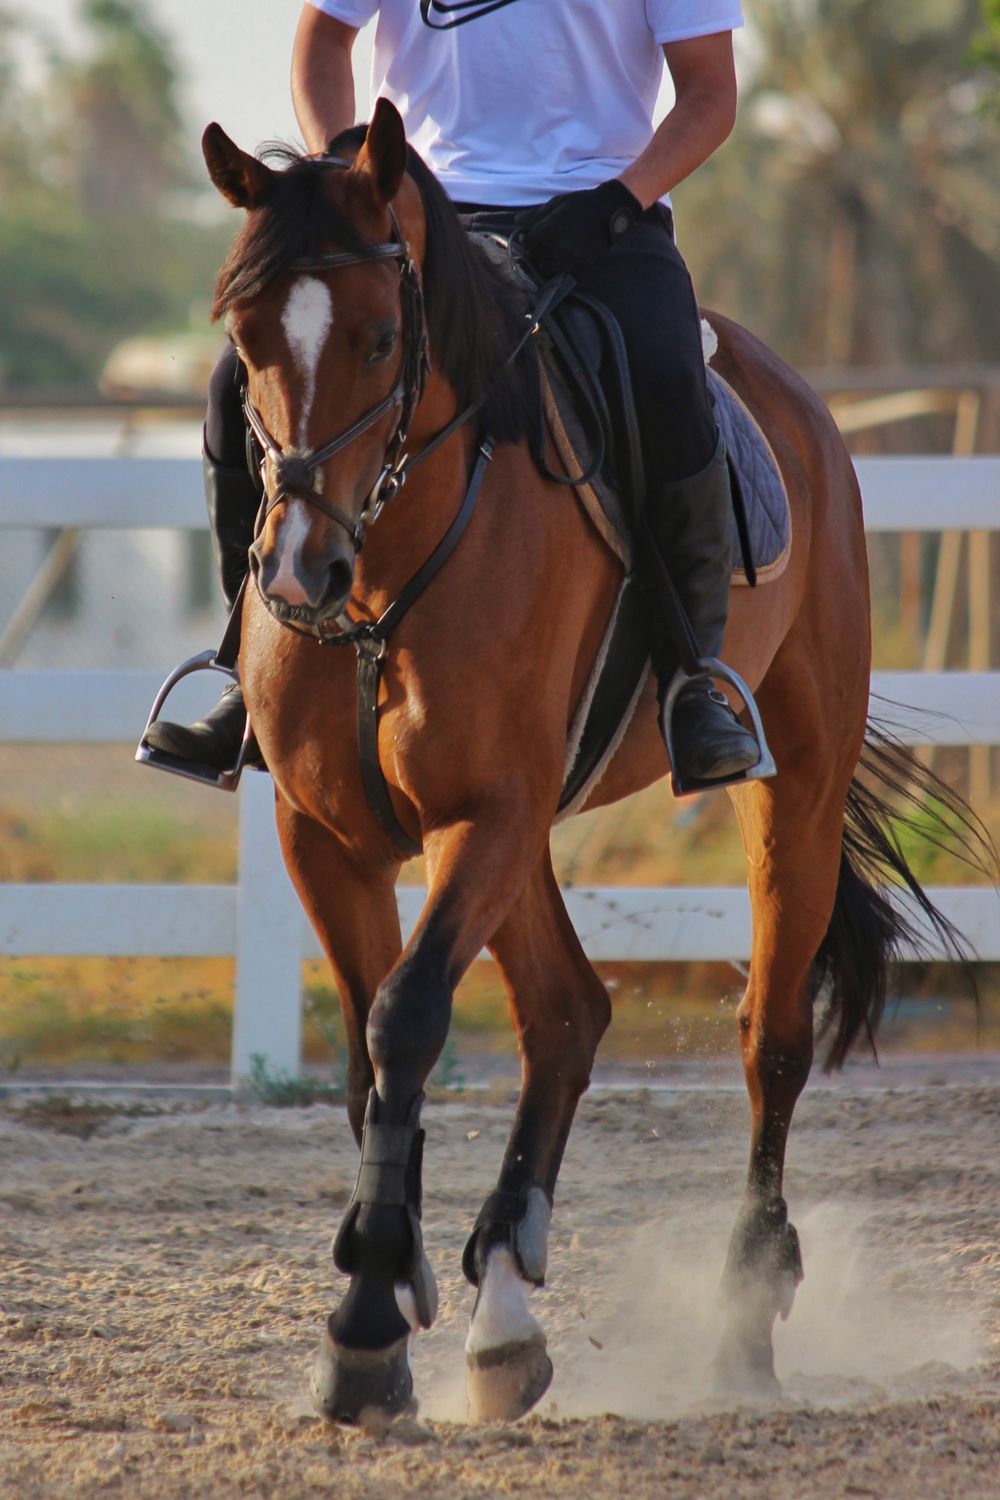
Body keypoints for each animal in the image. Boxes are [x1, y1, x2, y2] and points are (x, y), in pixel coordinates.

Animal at [198, 99, 984, 1423]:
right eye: (244, 338)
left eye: (376, 337)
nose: (297, 570)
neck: (387, 575)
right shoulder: (332, 836)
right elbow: (365, 1056)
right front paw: (386, 1306)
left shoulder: (487, 811)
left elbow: (405, 1021)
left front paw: (366, 1322)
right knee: (567, 1010)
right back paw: (503, 1323)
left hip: (791, 785)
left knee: (769, 1035)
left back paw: (741, 1321)